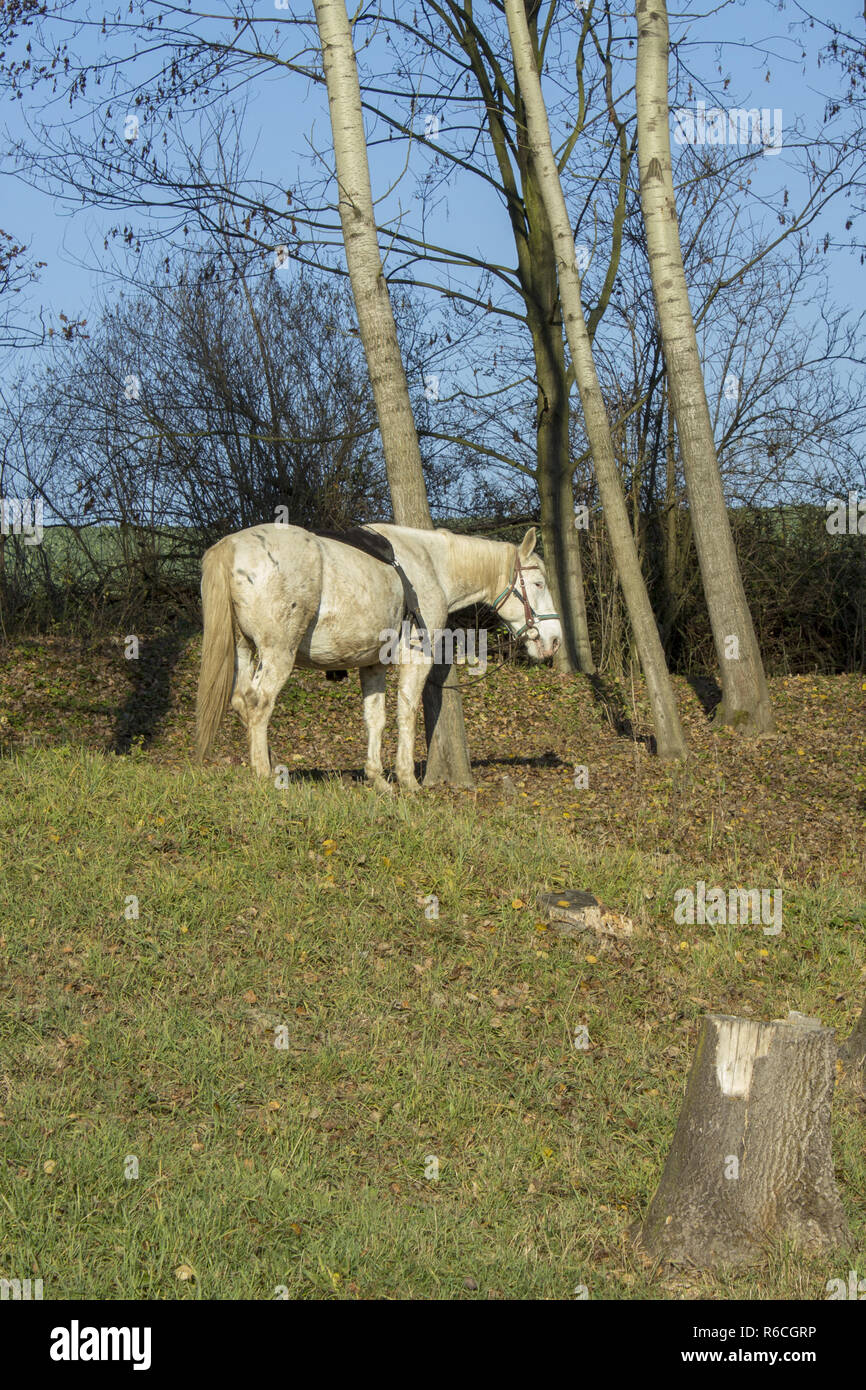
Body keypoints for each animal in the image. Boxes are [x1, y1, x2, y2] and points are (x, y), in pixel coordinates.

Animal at [195, 522, 562, 789]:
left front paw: (378, 778)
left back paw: (269, 764)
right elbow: (406, 714)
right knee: (259, 703)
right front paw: (408, 780)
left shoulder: (371, 663)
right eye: (539, 584)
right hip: (276, 654)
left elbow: (375, 718)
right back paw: (263, 774)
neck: (429, 565)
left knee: (242, 701)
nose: (555, 639)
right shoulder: (416, 658)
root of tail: (231, 546)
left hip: (244, 650)